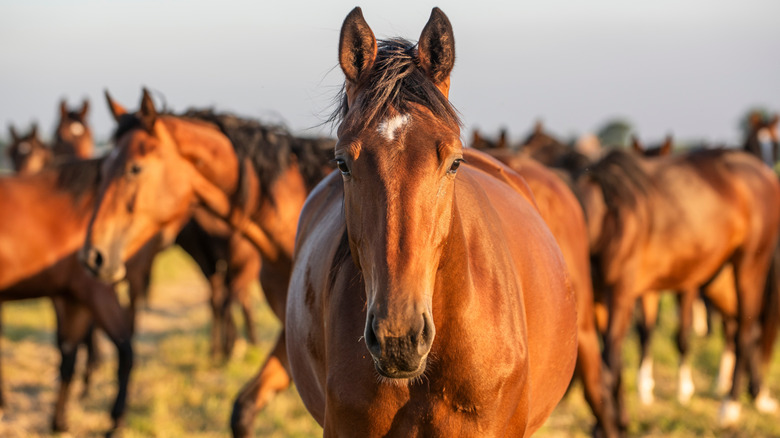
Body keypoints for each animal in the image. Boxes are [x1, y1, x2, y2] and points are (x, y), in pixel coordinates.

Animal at [578, 148, 780, 428]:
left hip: (750, 265)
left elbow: (609, 365)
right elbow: (611, 367)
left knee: (745, 331)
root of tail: (763, 171)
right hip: (719, 280)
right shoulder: (598, 299)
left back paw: (730, 406)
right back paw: (759, 397)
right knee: (742, 327)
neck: (608, 219)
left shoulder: (620, 294)